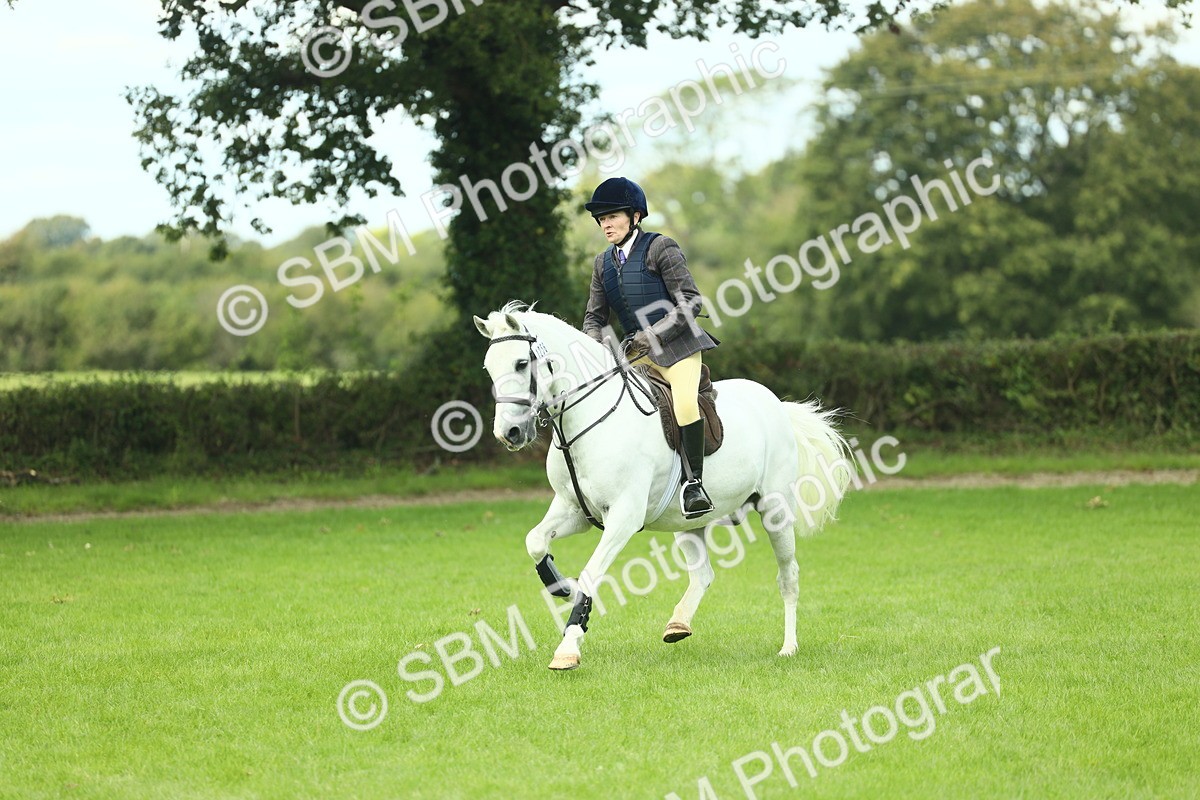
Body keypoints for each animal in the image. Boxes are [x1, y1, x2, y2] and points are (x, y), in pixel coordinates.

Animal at [473, 301, 853, 670]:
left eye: (522, 363)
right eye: (488, 368)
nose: (509, 434)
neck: (587, 419)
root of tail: (776, 404)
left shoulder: (624, 516)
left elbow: (591, 572)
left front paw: (567, 648)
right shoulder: (573, 510)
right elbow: (535, 541)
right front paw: (563, 586)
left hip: (775, 509)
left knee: (788, 576)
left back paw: (788, 647)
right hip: (689, 521)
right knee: (703, 575)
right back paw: (678, 624)